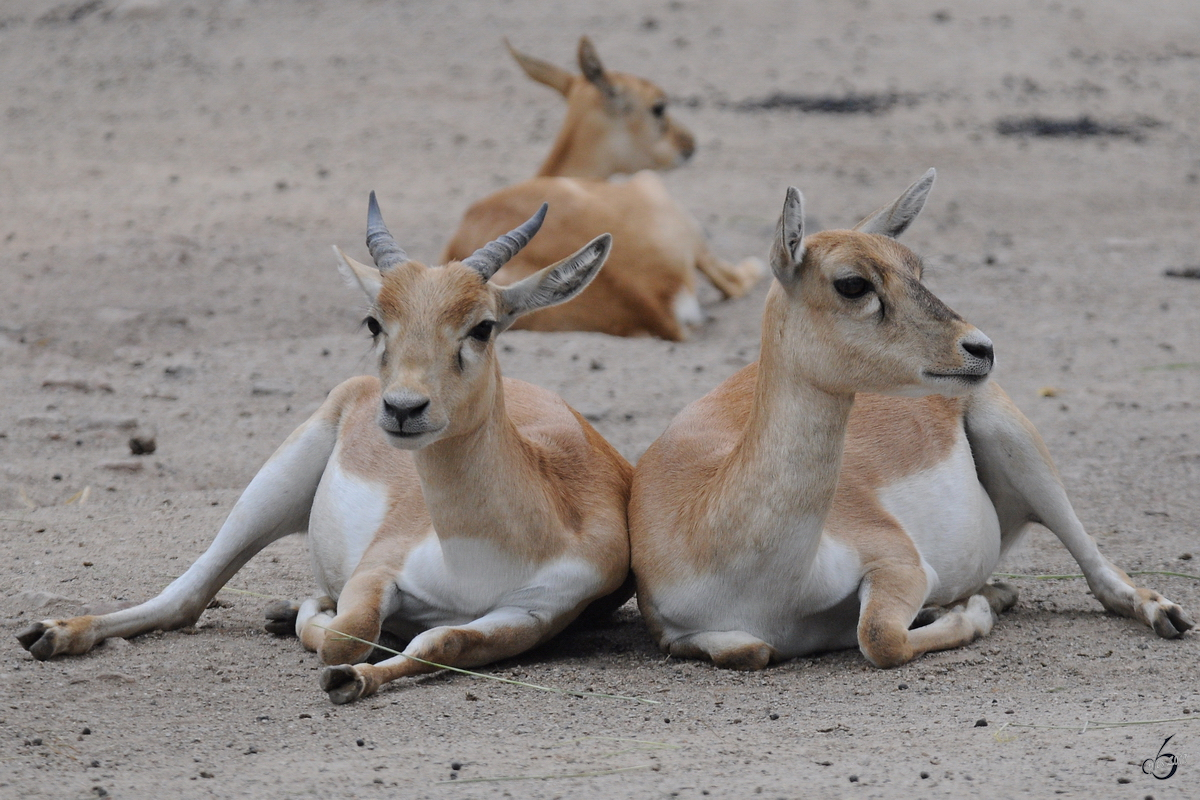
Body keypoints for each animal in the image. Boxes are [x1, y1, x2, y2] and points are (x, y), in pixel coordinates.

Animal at [18, 196, 633, 705]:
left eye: (482, 326)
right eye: (374, 321)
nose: (403, 409)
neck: (480, 547)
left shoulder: (532, 615)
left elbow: (439, 644)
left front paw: (353, 677)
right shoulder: (377, 568)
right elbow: (346, 632)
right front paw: (326, 620)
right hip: (274, 485)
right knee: (186, 596)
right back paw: (50, 633)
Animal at [628, 172, 1190, 671]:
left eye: (915, 267)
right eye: (852, 283)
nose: (979, 348)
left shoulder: (901, 562)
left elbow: (880, 637)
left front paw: (969, 610)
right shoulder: (680, 631)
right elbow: (751, 651)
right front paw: (969, 604)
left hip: (1017, 444)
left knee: (1098, 571)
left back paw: (1164, 613)